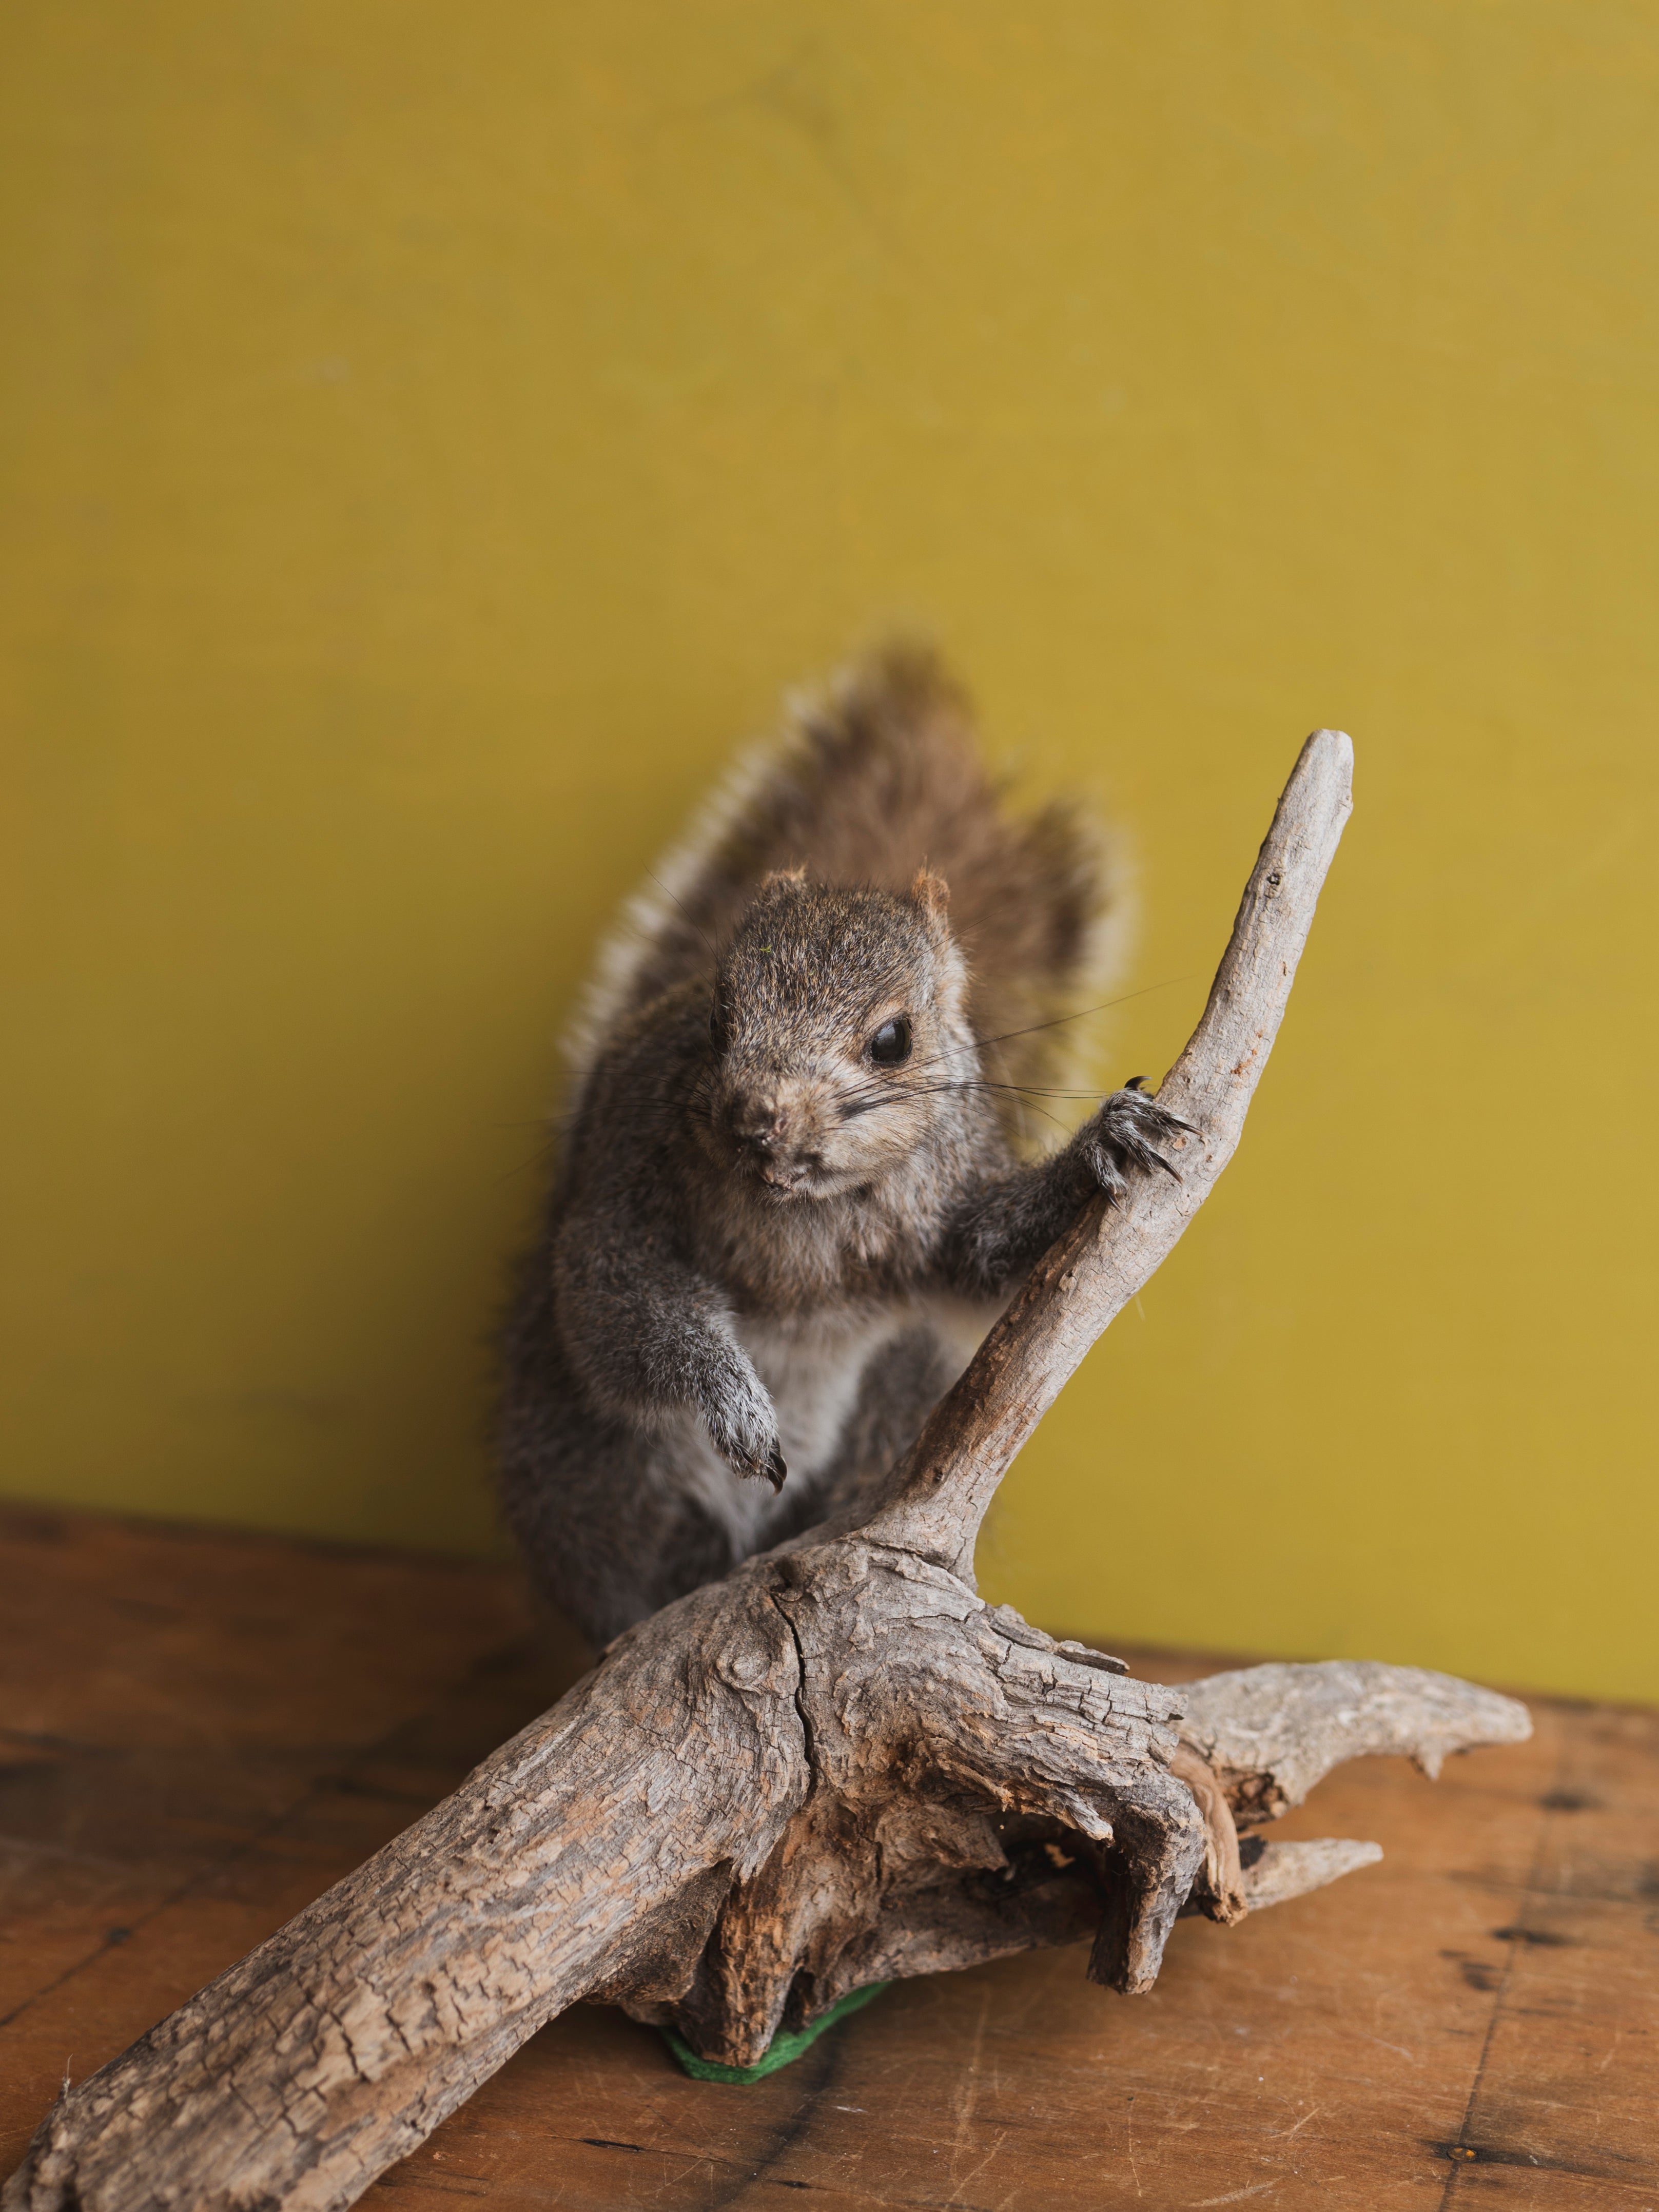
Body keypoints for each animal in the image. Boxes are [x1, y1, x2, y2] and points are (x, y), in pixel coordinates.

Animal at [500, 646, 1185, 1654]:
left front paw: (1106, 1140)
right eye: (715, 1018)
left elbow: (984, 1260)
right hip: (589, 1463)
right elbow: (621, 1302)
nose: (756, 1118)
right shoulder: (622, 1188)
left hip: (892, 1406)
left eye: (893, 1040)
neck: (802, 1208)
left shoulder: (939, 1214)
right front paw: (734, 1403)